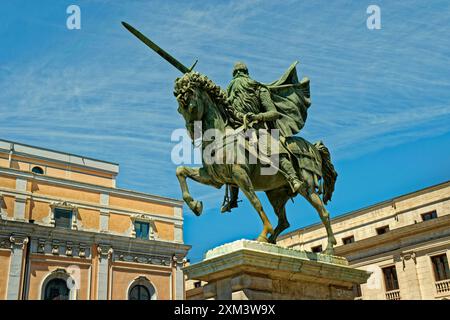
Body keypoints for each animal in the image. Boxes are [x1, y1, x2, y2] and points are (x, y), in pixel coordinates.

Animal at [172, 71, 338, 254]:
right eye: (179, 108)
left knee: (323, 212)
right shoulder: (214, 178)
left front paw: (264, 233)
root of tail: (314, 147)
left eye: (189, 102)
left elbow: (255, 202)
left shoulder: (240, 175)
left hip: (306, 187)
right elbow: (181, 171)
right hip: (276, 193)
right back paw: (272, 242)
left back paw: (329, 249)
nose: (192, 132)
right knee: (284, 221)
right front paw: (195, 205)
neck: (219, 137)